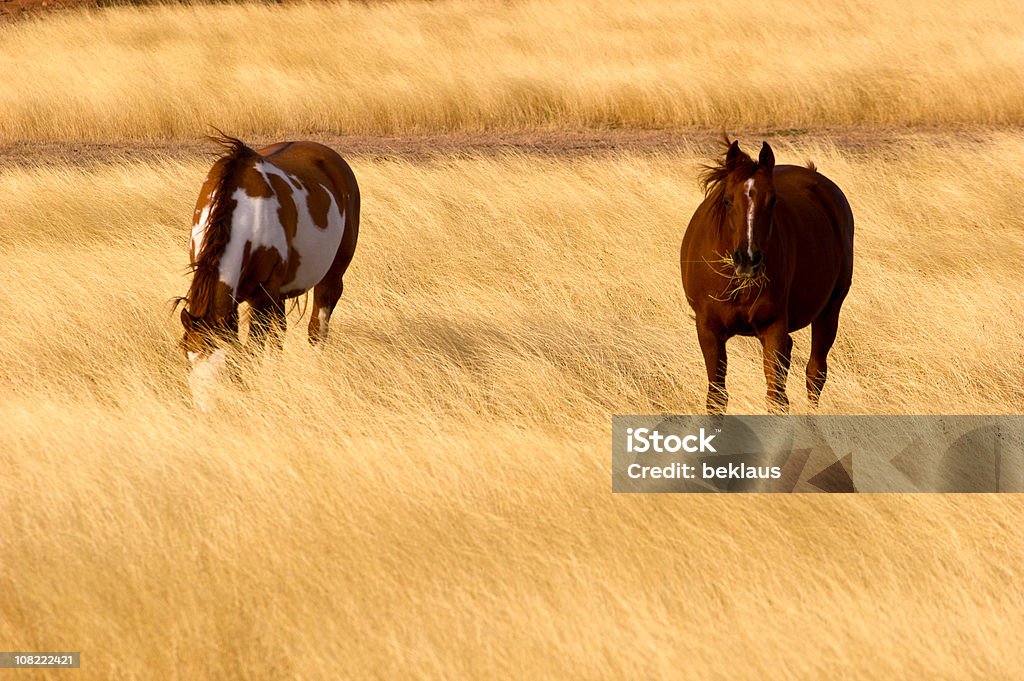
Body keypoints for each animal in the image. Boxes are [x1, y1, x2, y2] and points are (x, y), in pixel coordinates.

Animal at [179, 136, 360, 405]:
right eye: (189, 360)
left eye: (228, 368)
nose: (208, 410)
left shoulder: (263, 297)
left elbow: (253, 352)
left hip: (331, 277)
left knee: (317, 329)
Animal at [679, 135, 856, 411]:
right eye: (727, 200)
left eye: (772, 201)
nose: (748, 259)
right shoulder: (708, 330)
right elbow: (717, 398)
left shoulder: (774, 327)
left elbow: (776, 397)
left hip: (830, 310)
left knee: (815, 374)